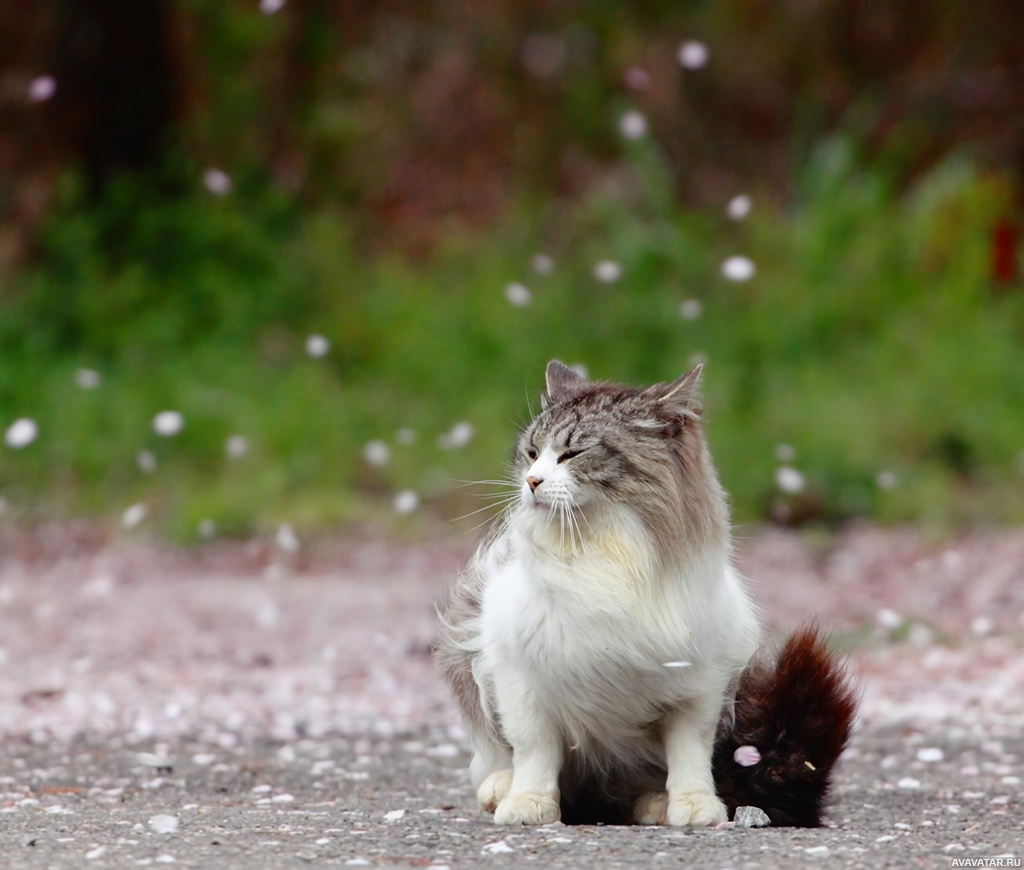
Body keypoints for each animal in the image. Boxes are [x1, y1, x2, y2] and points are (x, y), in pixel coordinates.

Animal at [432, 360, 856, 827]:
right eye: (531, 453)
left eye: (571, 454)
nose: (532, 481)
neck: (602, 553)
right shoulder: (519, 676)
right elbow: (534, 750)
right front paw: (529, 802)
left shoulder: (699, 687)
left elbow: (689, 755)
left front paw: (694, 805)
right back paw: (502, 788)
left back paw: (654, 804)